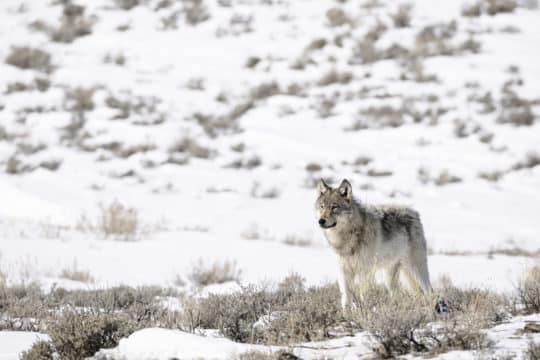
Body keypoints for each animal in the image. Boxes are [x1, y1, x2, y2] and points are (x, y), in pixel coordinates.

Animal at [314, 179, 432, 308]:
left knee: (429, 291)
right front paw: (347, 312)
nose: (321, 221)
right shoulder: (344, 271)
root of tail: (414, 212)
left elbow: (363, 295)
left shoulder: (365, 272)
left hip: (417, 269)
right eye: (322, 206)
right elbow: (346, 298)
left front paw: (365, 310)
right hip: (390, 277)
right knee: (398, 294)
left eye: (334, 207)